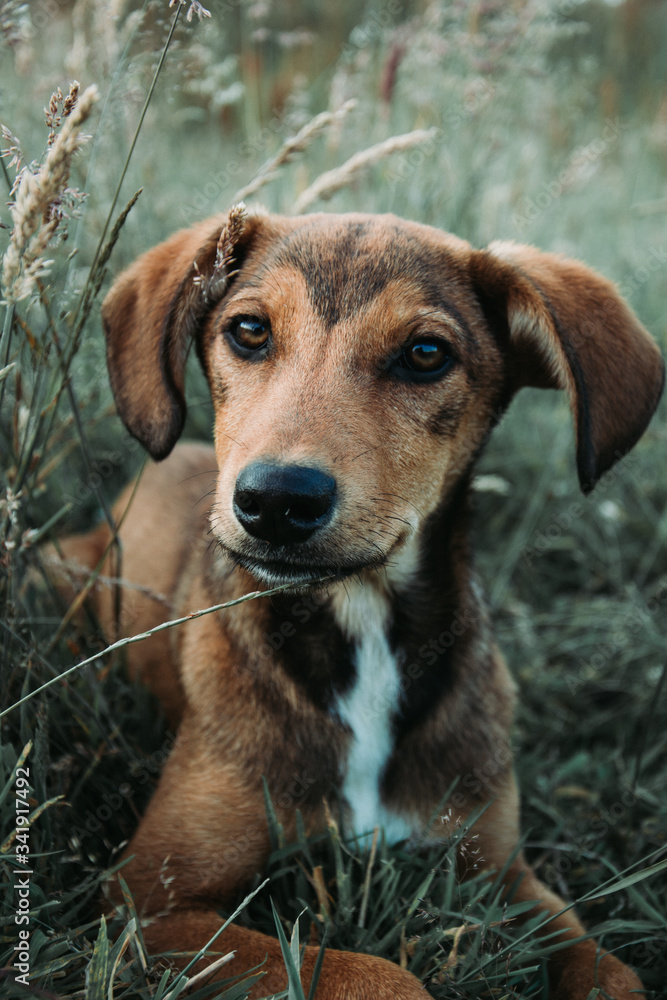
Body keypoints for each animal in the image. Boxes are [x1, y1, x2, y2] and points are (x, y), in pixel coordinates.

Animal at [54, 207, 664, 996]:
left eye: (426, 353)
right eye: (248, 330)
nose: (275, 500)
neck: (362, 620)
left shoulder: (504, 874)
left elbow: (609, 969)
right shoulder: (148, 901)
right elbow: (375, 974)